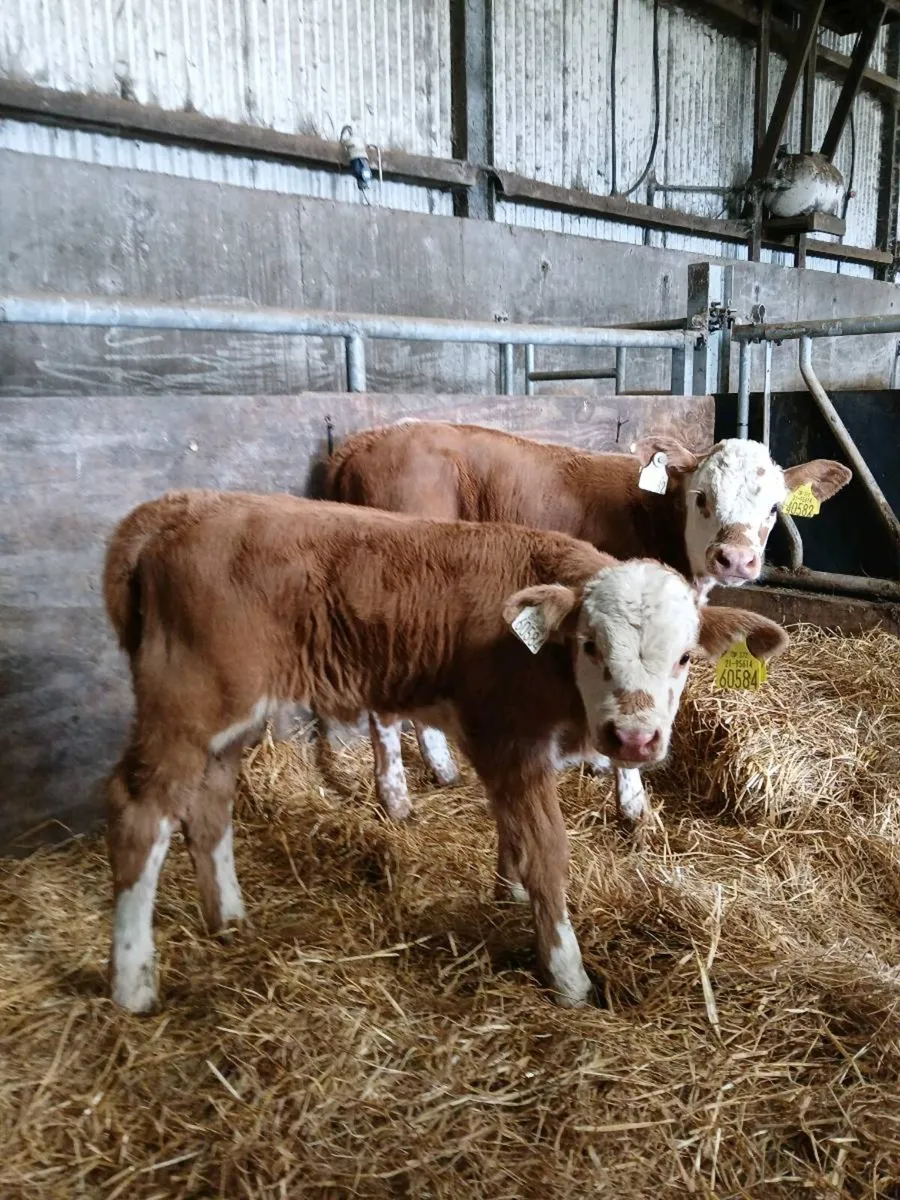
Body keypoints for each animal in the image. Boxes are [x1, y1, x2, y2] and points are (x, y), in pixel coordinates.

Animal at [102, 488, 788, 1012]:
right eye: (590, 645)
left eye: (685, 657)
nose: (634, 740)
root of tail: (181, 508)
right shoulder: (511, 742)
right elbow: (546, 851)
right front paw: (567, 974)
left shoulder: (506, 749)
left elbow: (512, 830)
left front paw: (510, 893)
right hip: (186, 705)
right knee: (141, 813)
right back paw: (132, 983)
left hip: (235, 718)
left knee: (210, 804)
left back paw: (228, 918)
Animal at [323, 422, 850, 823]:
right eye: (702, 497)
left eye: (774, 508)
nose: (736, 559)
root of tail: (365, 441)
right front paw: (631, 799)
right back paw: (396, 798)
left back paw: (440, 769)